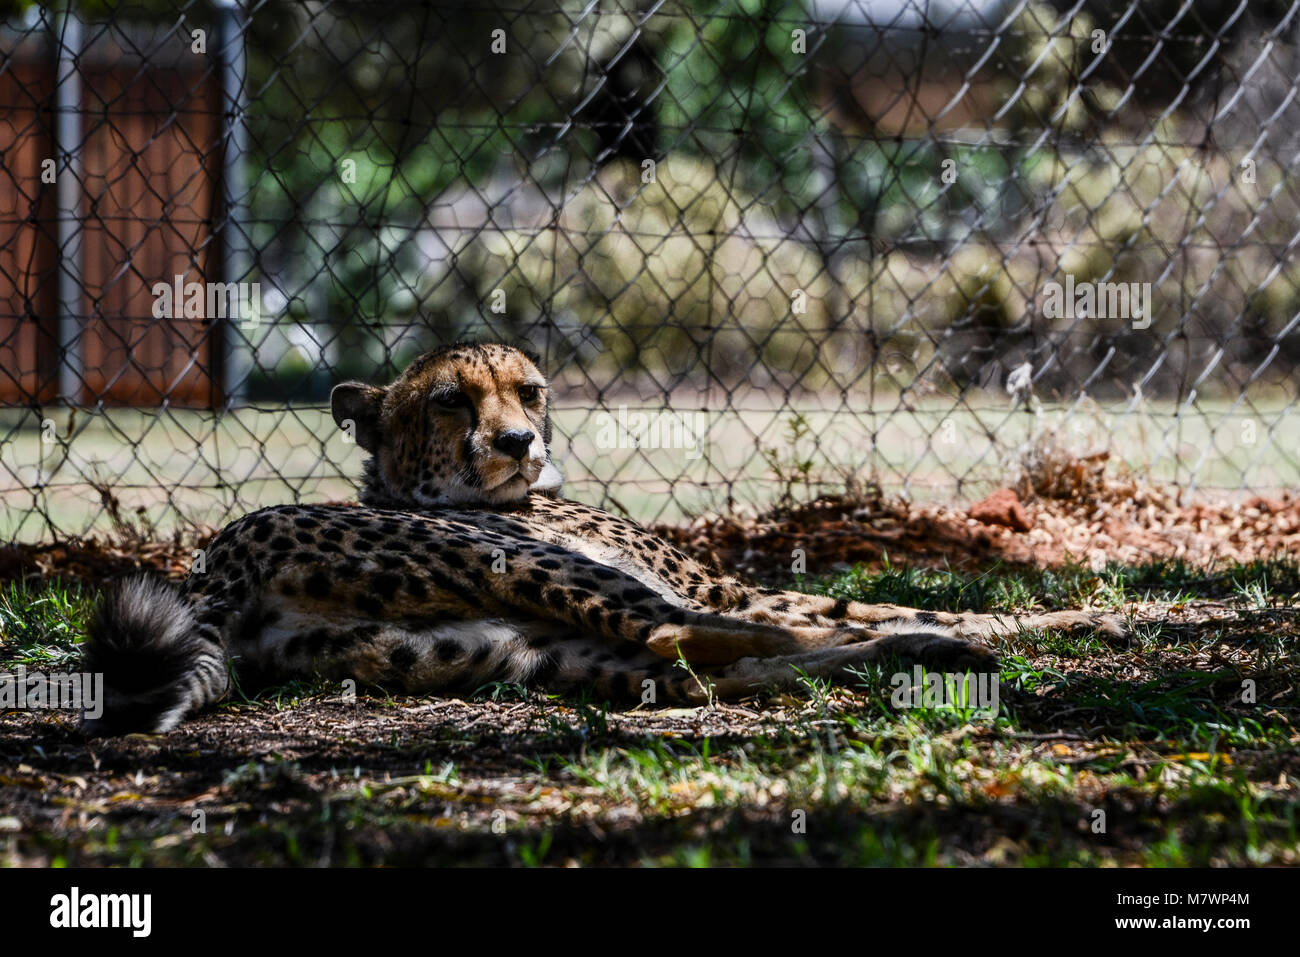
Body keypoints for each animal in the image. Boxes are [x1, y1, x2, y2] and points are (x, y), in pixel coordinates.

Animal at [81, 343, 1123, 733]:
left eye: (530, 389)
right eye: (451, 399)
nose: (519, 441)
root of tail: (217, 557)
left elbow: (856, 600)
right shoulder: (730, 583)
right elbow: (864, 595)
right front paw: (1075, 618)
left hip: (514, 650)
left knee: (702, 665)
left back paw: (923, 651)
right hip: (539, 579)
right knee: (698, 630)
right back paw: (936, 644)